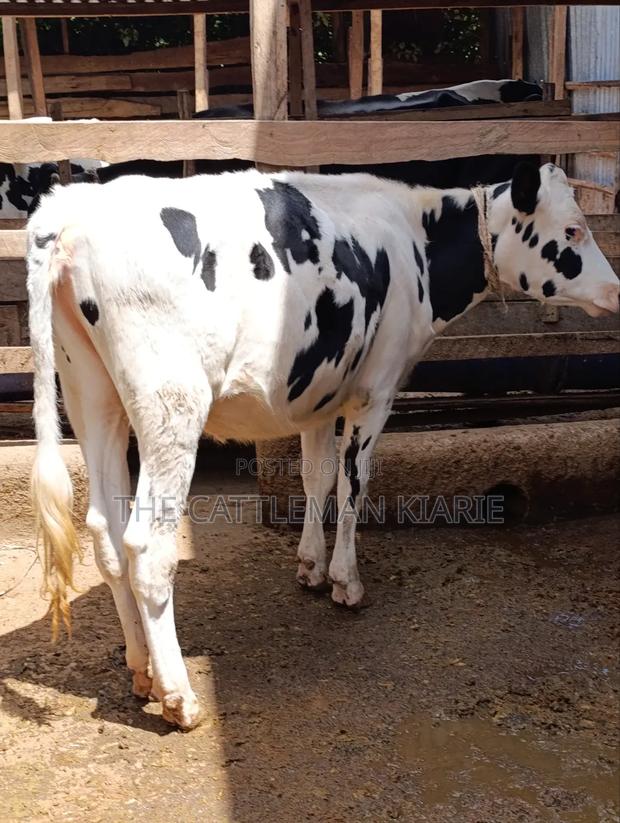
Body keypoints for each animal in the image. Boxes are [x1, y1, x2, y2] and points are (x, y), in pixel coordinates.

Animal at [27, 162, 618, 730]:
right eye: (573, 229)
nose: (615, 289)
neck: (414, 241)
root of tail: (71, 213)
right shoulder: (375, 390)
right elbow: (355, 482)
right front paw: (344, 581)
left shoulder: (318, 392)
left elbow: (318, 475)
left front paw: (310, 565)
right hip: (171, 403)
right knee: (147, 546)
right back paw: (179, 698)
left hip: (92, 394)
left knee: (105, 531)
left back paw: (140, 670)